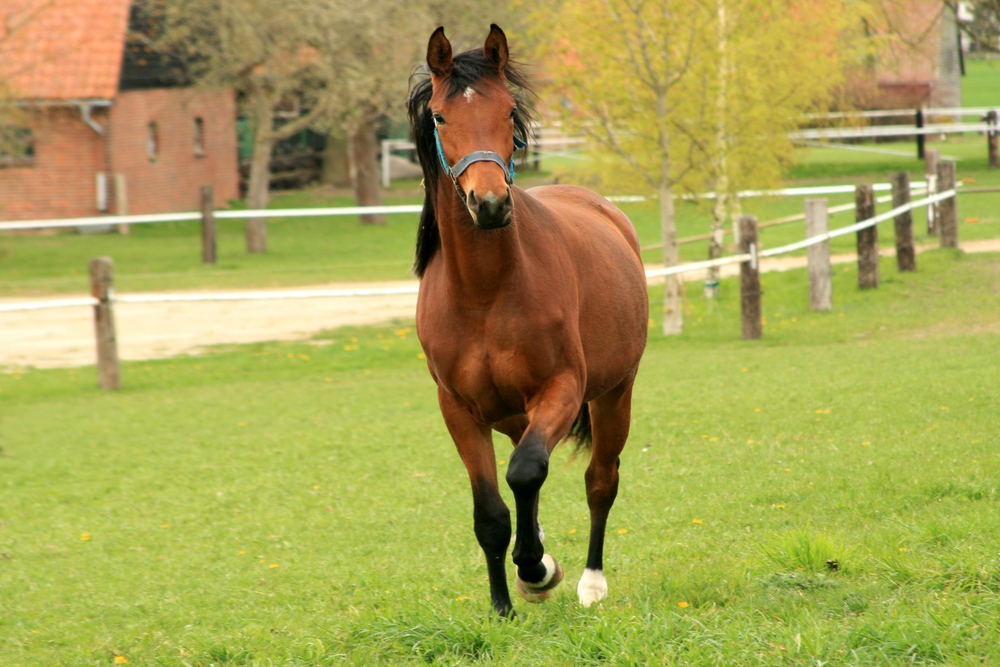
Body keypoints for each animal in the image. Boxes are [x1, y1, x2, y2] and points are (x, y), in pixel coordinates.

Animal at [408, 26, 648, 620]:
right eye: (440, 117)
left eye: (509, 110)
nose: (490, 203)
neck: (485, 293)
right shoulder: (459, 409)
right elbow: (492, 513)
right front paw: (502, 606)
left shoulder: (562, 388)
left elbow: (525, 472)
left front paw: (537, 569)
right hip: (513, 414)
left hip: (614, 395)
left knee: (598, 481)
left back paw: (589, 582)